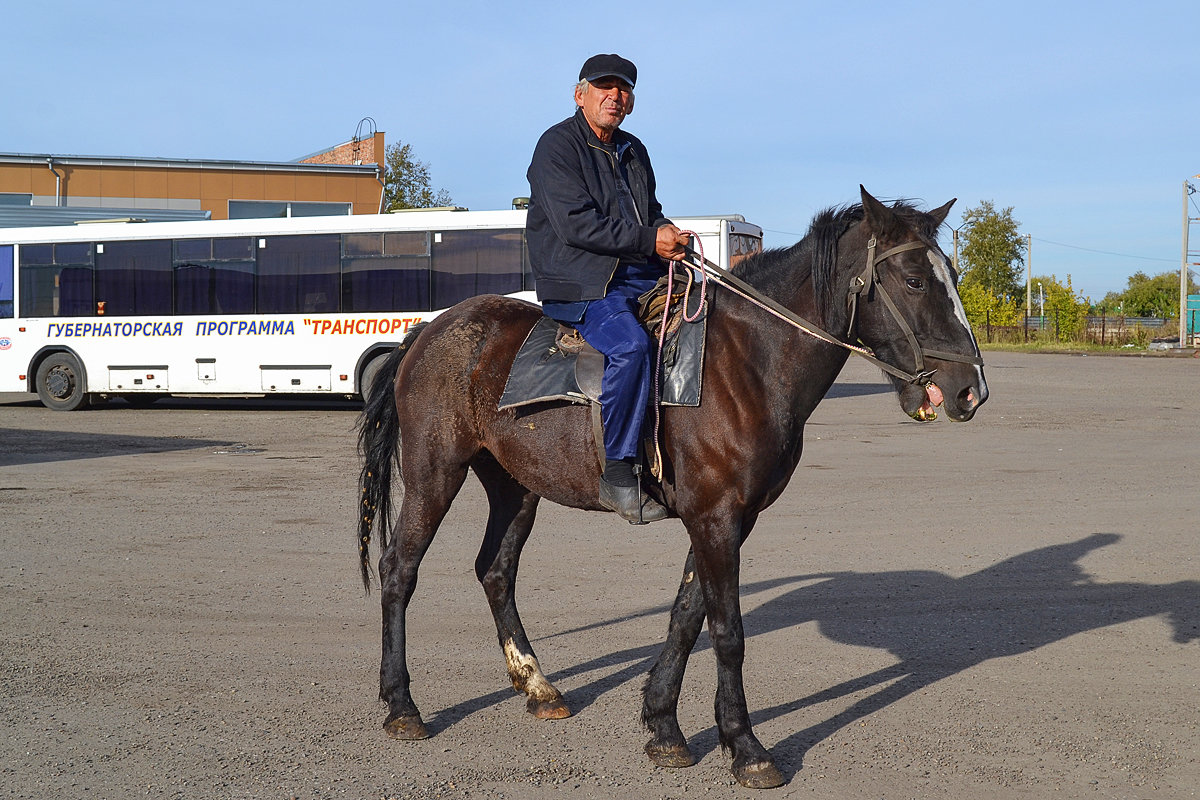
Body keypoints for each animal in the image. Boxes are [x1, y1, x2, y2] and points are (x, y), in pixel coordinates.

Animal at [352, 189, 984, 786]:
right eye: (913, 279)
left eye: (953, 276)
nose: (969, 391)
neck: (748, 364)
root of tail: (427, 333)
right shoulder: (716, 520)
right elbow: (727, 630)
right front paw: (746, 748)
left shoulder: (728, 519)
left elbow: (686, 615)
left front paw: (664, 726)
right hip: (436, 474)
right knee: (399, 570)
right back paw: (402, 705)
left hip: (515, 488)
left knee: (496, 571)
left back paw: (538, 687)